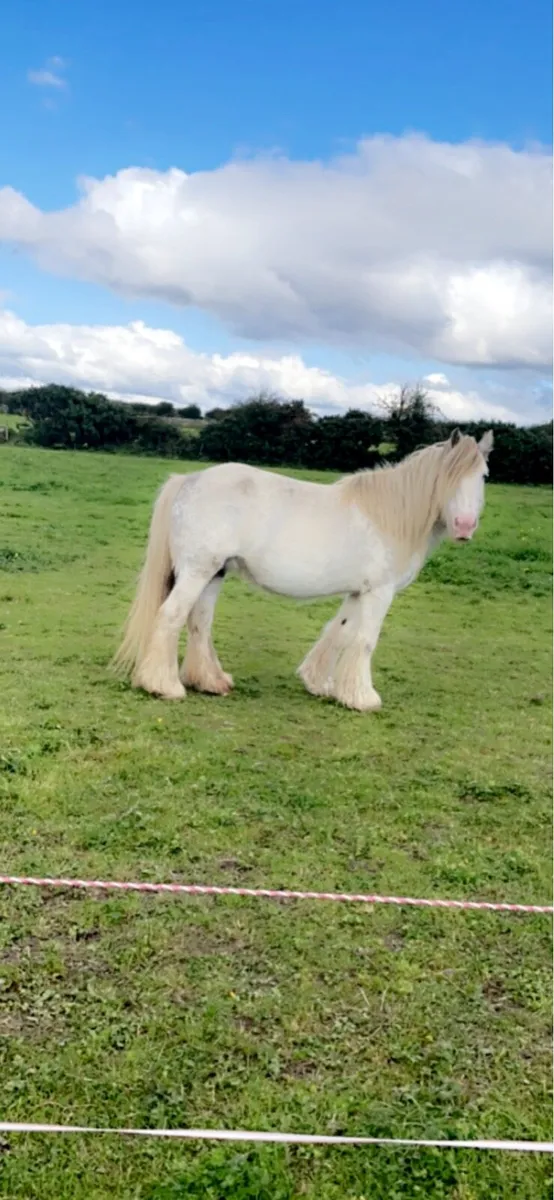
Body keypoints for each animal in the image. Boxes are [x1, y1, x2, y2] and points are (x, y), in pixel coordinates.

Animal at [112, 428, 493, 712]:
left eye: (484, 477)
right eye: (448, 477)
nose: (464, 526)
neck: (390, 516)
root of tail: (189, 480)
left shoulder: (358, 592)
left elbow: (339, 632)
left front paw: (320, 683)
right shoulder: (379, 593)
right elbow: (365, 641)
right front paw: (363, 698)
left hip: (213, 574)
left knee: (199, 624)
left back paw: (210, 681)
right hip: (196, 573)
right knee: (171, 616)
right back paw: (164, 686)